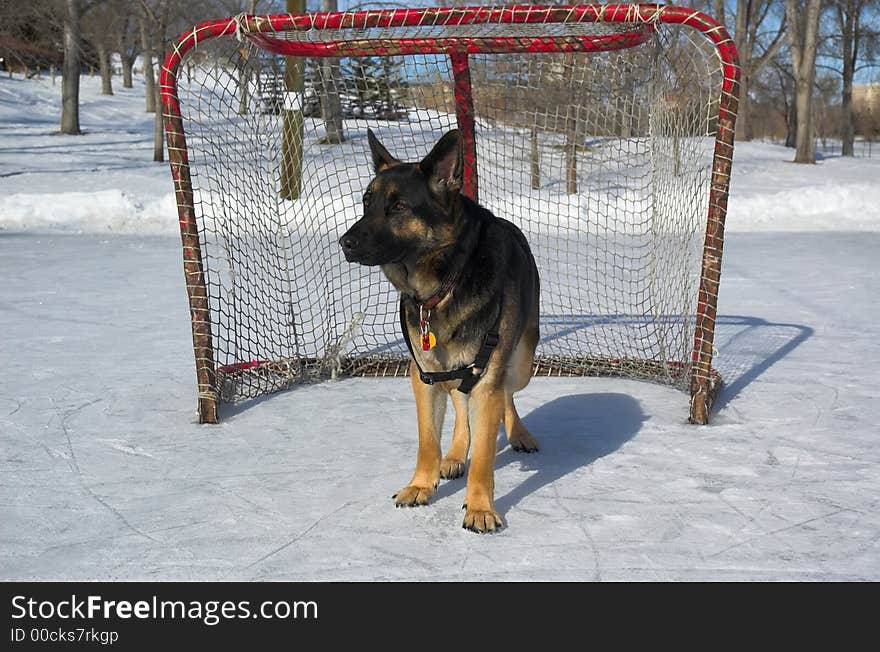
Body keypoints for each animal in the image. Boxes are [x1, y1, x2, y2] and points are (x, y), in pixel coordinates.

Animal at [338, 130, 540, 532]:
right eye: (367, 202)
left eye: (399, 206)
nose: (344, 243)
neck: (445, 282)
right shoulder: (424, 376)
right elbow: (428, 441)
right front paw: (421, 485)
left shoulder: (488, 378)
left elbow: (485, 456)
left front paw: (479, 507)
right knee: (460, 402)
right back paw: (456, 452)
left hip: (520, 363)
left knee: (508, 394)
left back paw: (519, 433)